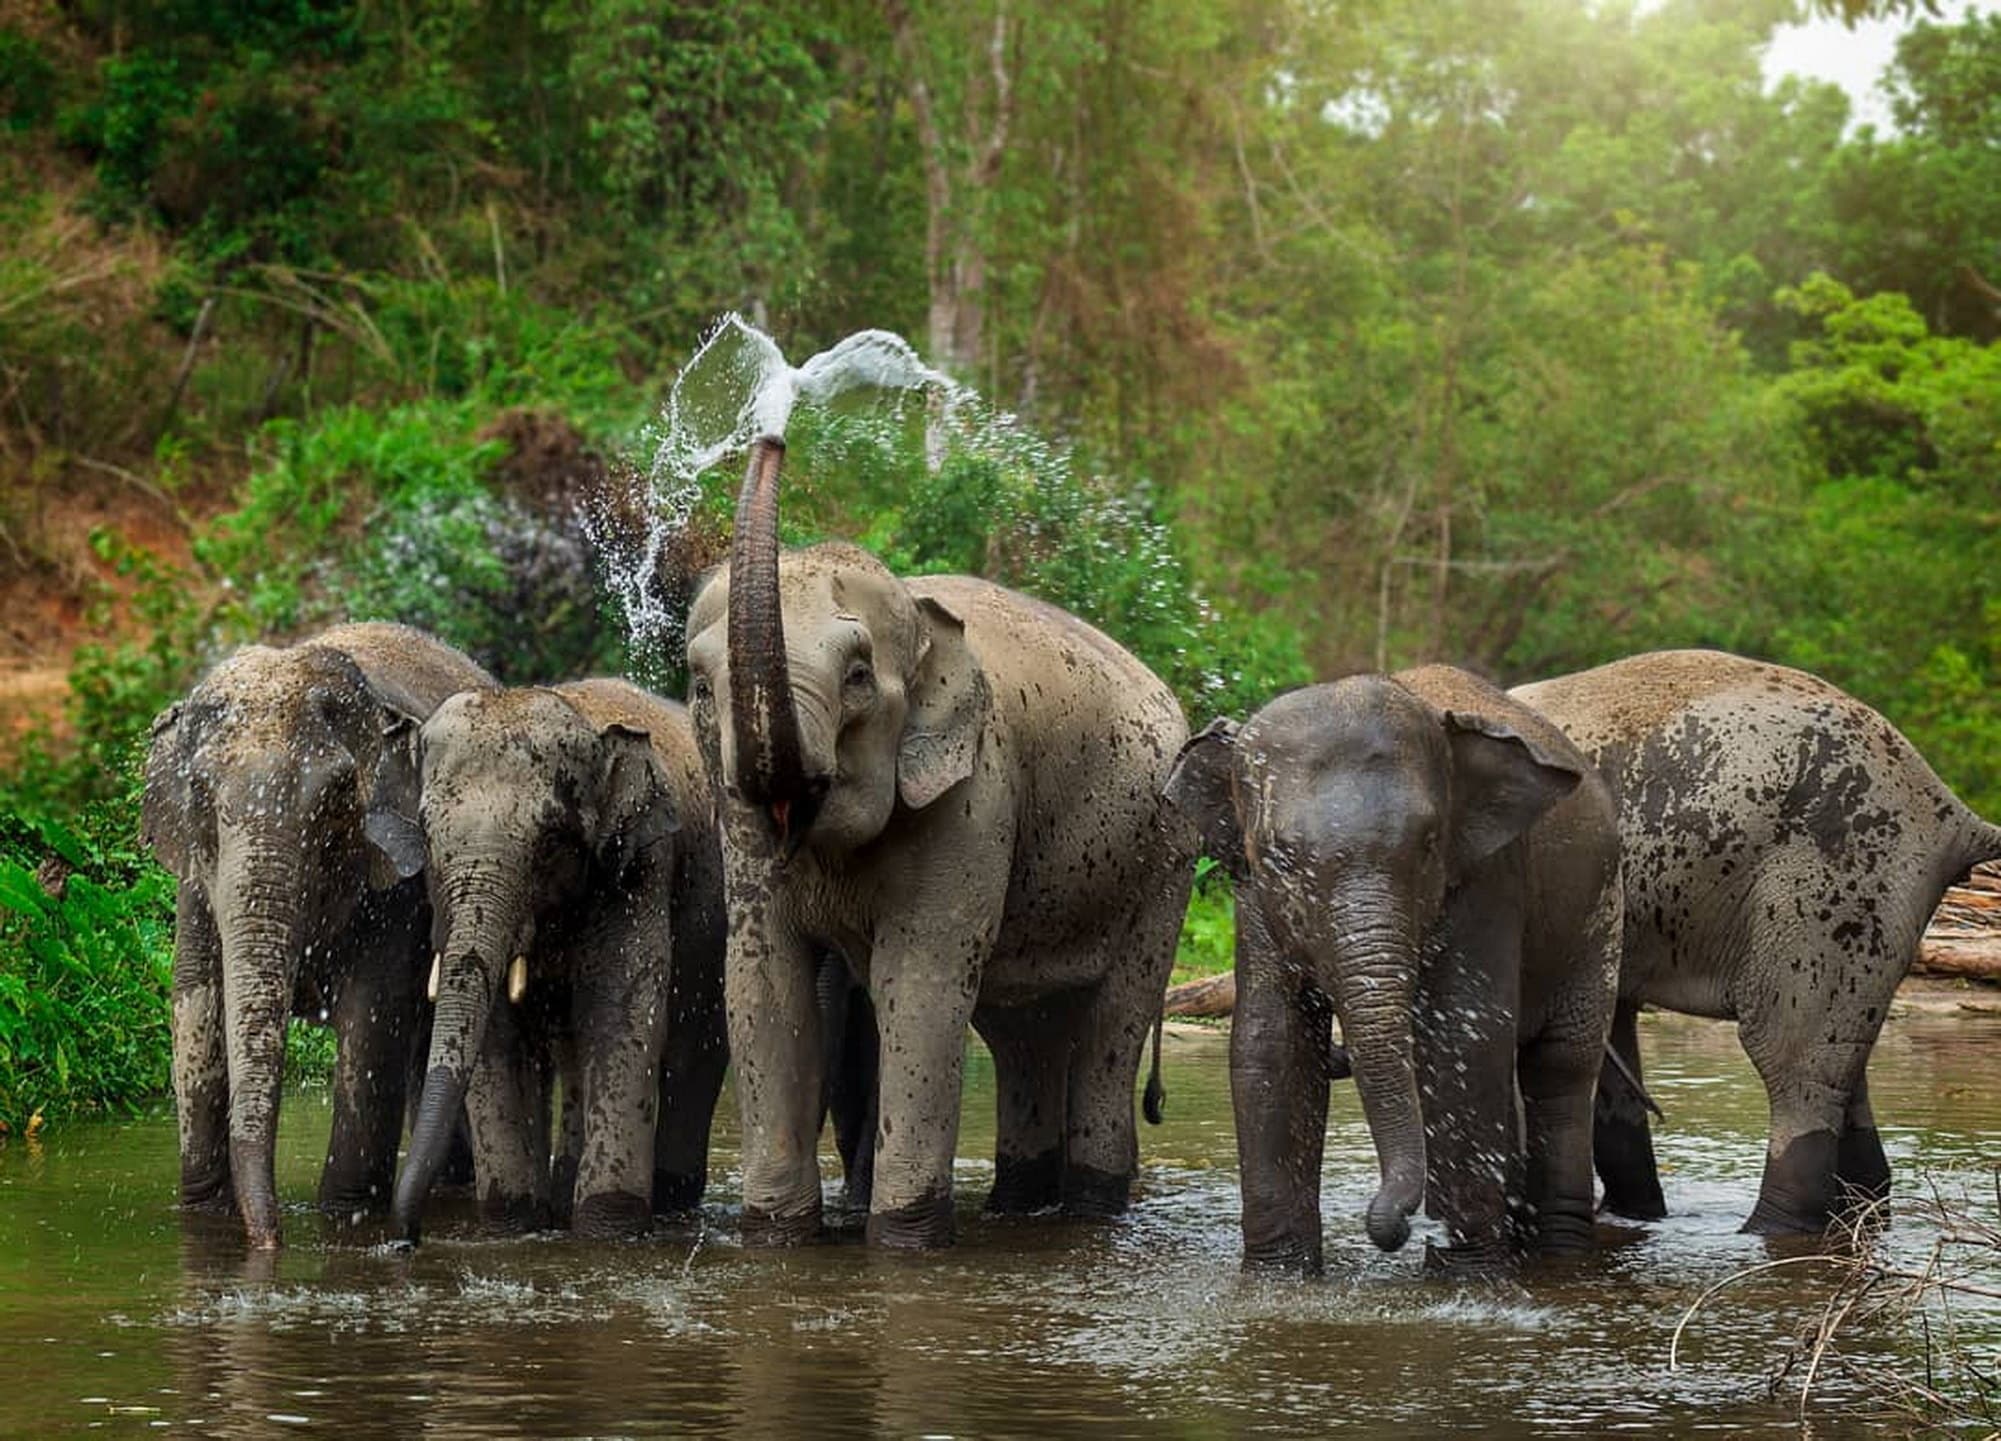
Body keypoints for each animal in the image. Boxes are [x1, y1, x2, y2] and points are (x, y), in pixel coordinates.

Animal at [141, 622, 494, 1248]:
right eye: (201, 795)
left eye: (337, 798)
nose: (271, 1242)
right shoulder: (195, 887)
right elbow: (195, 1005)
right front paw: (207, 1215)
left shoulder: (394, 883)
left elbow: (373, 1015)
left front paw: (343, 1215)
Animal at [386, 678, 729, 1241]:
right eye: (427, 832)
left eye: (550, 838)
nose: (406, 1240)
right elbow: (497, 1033)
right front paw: (514, 1223)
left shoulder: (639, 868)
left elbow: (620, 1018)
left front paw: (608, 1229)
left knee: (693, 1048)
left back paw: (669, 1196)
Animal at [683, 435, 1196, 1249]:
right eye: (702, 689)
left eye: (859, 676)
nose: (773, 438)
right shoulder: (736, 813)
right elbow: (764, 977)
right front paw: (776, 1236)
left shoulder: (976, 792)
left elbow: (918, 977)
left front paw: (903, 1241)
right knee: (1022, 1028)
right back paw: (1020, 1201)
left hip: (1163, 860)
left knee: (1112, 1017)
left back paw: (1088, 1208)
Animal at [1164, 666, 1622, 1272]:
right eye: (1280, 858)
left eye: (1429, 844)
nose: (1400, 1227)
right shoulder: (1254, 896)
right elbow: (1273, 1042)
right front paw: (1277, 1276)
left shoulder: (1489, 876)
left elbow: (1461, 1036)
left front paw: (1467, 1277)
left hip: (1603, 918)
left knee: (1561, 1068)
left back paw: (1559, 1258)